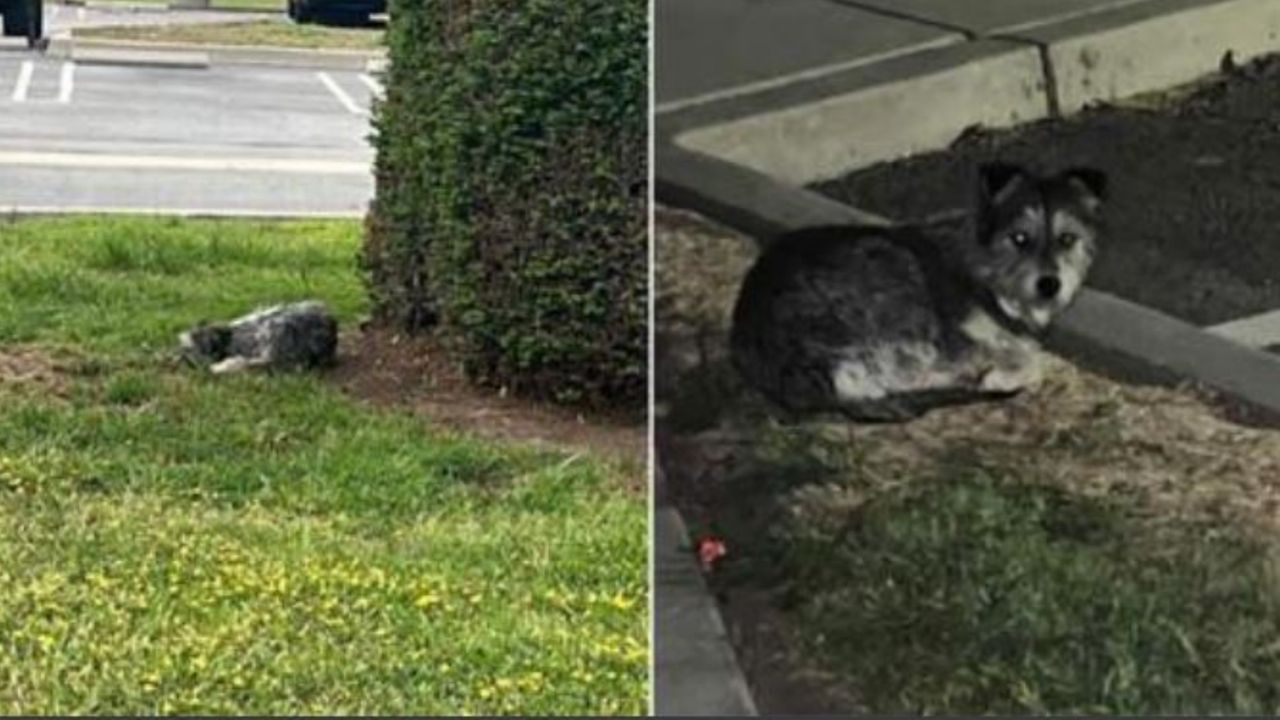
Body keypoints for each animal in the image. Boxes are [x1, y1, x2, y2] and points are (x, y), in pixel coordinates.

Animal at [737, 162, 1105, 420]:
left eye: (1067, 239)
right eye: (1019, 238)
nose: (1050, 285)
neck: (987, 270)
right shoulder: (957, 339)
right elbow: (1031, 359)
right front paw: (1000, 374)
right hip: (896, 281)